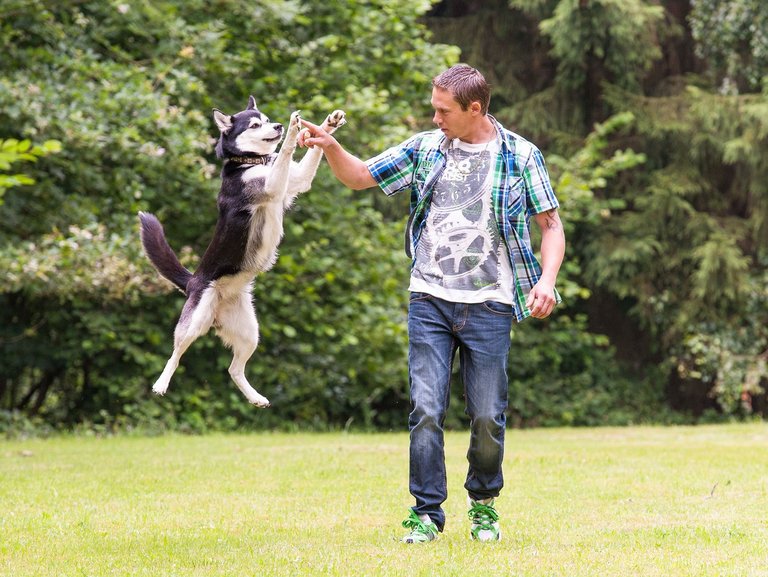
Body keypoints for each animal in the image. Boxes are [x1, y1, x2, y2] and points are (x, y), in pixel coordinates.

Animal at [138, 98, 344, 404]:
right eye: (255, 125)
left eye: (267, 120)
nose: (278, 126)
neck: (250, 162)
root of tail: (193, 281)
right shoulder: (272, 186)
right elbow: (286, 150)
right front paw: (293, 128)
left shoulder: (293, 182)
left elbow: (307, 155)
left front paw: (327, 125)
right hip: (194, 321)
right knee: (175, 355)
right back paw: (161, 384)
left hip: (249, 333)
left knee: (234, 369)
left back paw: (255, 397)